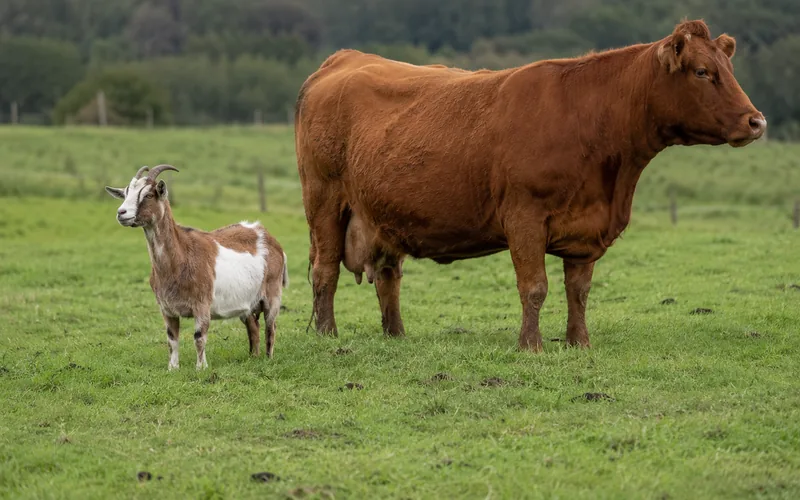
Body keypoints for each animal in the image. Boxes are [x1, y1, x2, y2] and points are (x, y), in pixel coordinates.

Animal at [105, 165, 288, 370]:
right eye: (125, 193)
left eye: (148, 195)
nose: (121, 212)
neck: (180, 257)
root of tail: (267, 235)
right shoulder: (166, 308)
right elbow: (172, 339)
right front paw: (173, 368)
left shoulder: (202, 304)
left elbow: (199, 337)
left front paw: (201, 368)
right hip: (248, 300)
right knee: (253, 327)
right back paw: (253, 358)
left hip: (273, 292)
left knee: (271, 326)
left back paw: (268, 358)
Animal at [294, 19, 766, 352]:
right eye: (702, 72)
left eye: (728, 68)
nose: (755, 121)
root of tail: (343, 60)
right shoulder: (524, 216)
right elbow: (534, 286)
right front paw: (531, 346)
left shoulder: (584, 230)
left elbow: (579, 291)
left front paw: (579, 342)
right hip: (324, 200)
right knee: (325, 270)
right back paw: (327, 335)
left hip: (383, 212)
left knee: (389, 275)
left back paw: (396, 335)